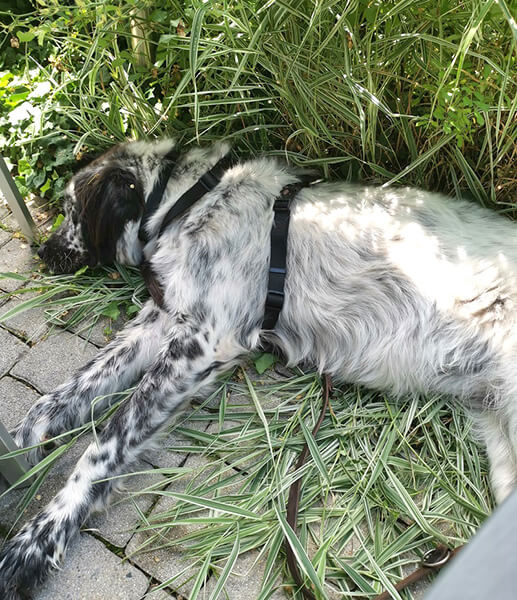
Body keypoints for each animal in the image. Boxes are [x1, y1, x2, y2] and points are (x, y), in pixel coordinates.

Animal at [0, 138, 515, 598]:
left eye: (70, 211)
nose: (42, 252)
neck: (188, 203)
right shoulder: (163, 319)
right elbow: (68, 392)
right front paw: (19, 443)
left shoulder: (203, 341)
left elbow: (105, 441)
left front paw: (39, 537)